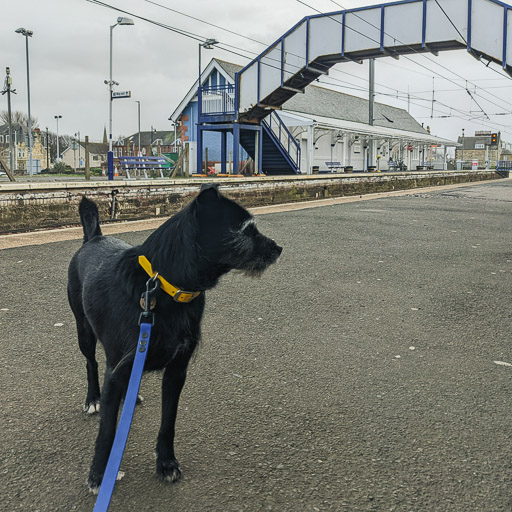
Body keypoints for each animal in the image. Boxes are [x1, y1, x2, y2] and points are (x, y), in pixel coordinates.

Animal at [66, 185, 282, 492]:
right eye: (246, 230)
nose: (279, 248)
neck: (164, 290)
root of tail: (93, 238)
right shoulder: (118, 370)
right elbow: (107, 431)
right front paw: (99, 473)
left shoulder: (177, 371)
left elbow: (168, 422)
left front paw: (166, 462)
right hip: (84, 331)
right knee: (91, 364)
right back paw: (93, 398)